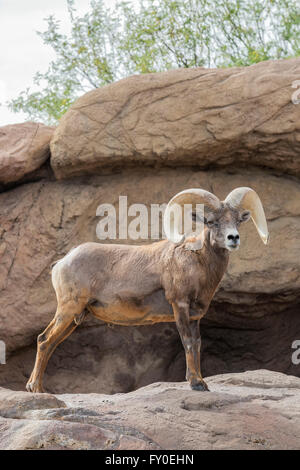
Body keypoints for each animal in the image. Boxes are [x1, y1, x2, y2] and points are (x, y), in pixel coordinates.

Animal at [27, 187, 268, 392]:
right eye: (211, 222)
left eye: (237, 221)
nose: (233, 238)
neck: (197, 261)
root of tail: (62, 262)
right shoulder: (179, 306)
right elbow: (188, 342)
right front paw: (195, 384)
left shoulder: (195, 316)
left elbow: (197, 344)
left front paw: (201, 382)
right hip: (69, 309)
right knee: (45, 341)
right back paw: (36, 389)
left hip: (75, 316)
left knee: (49, 341)